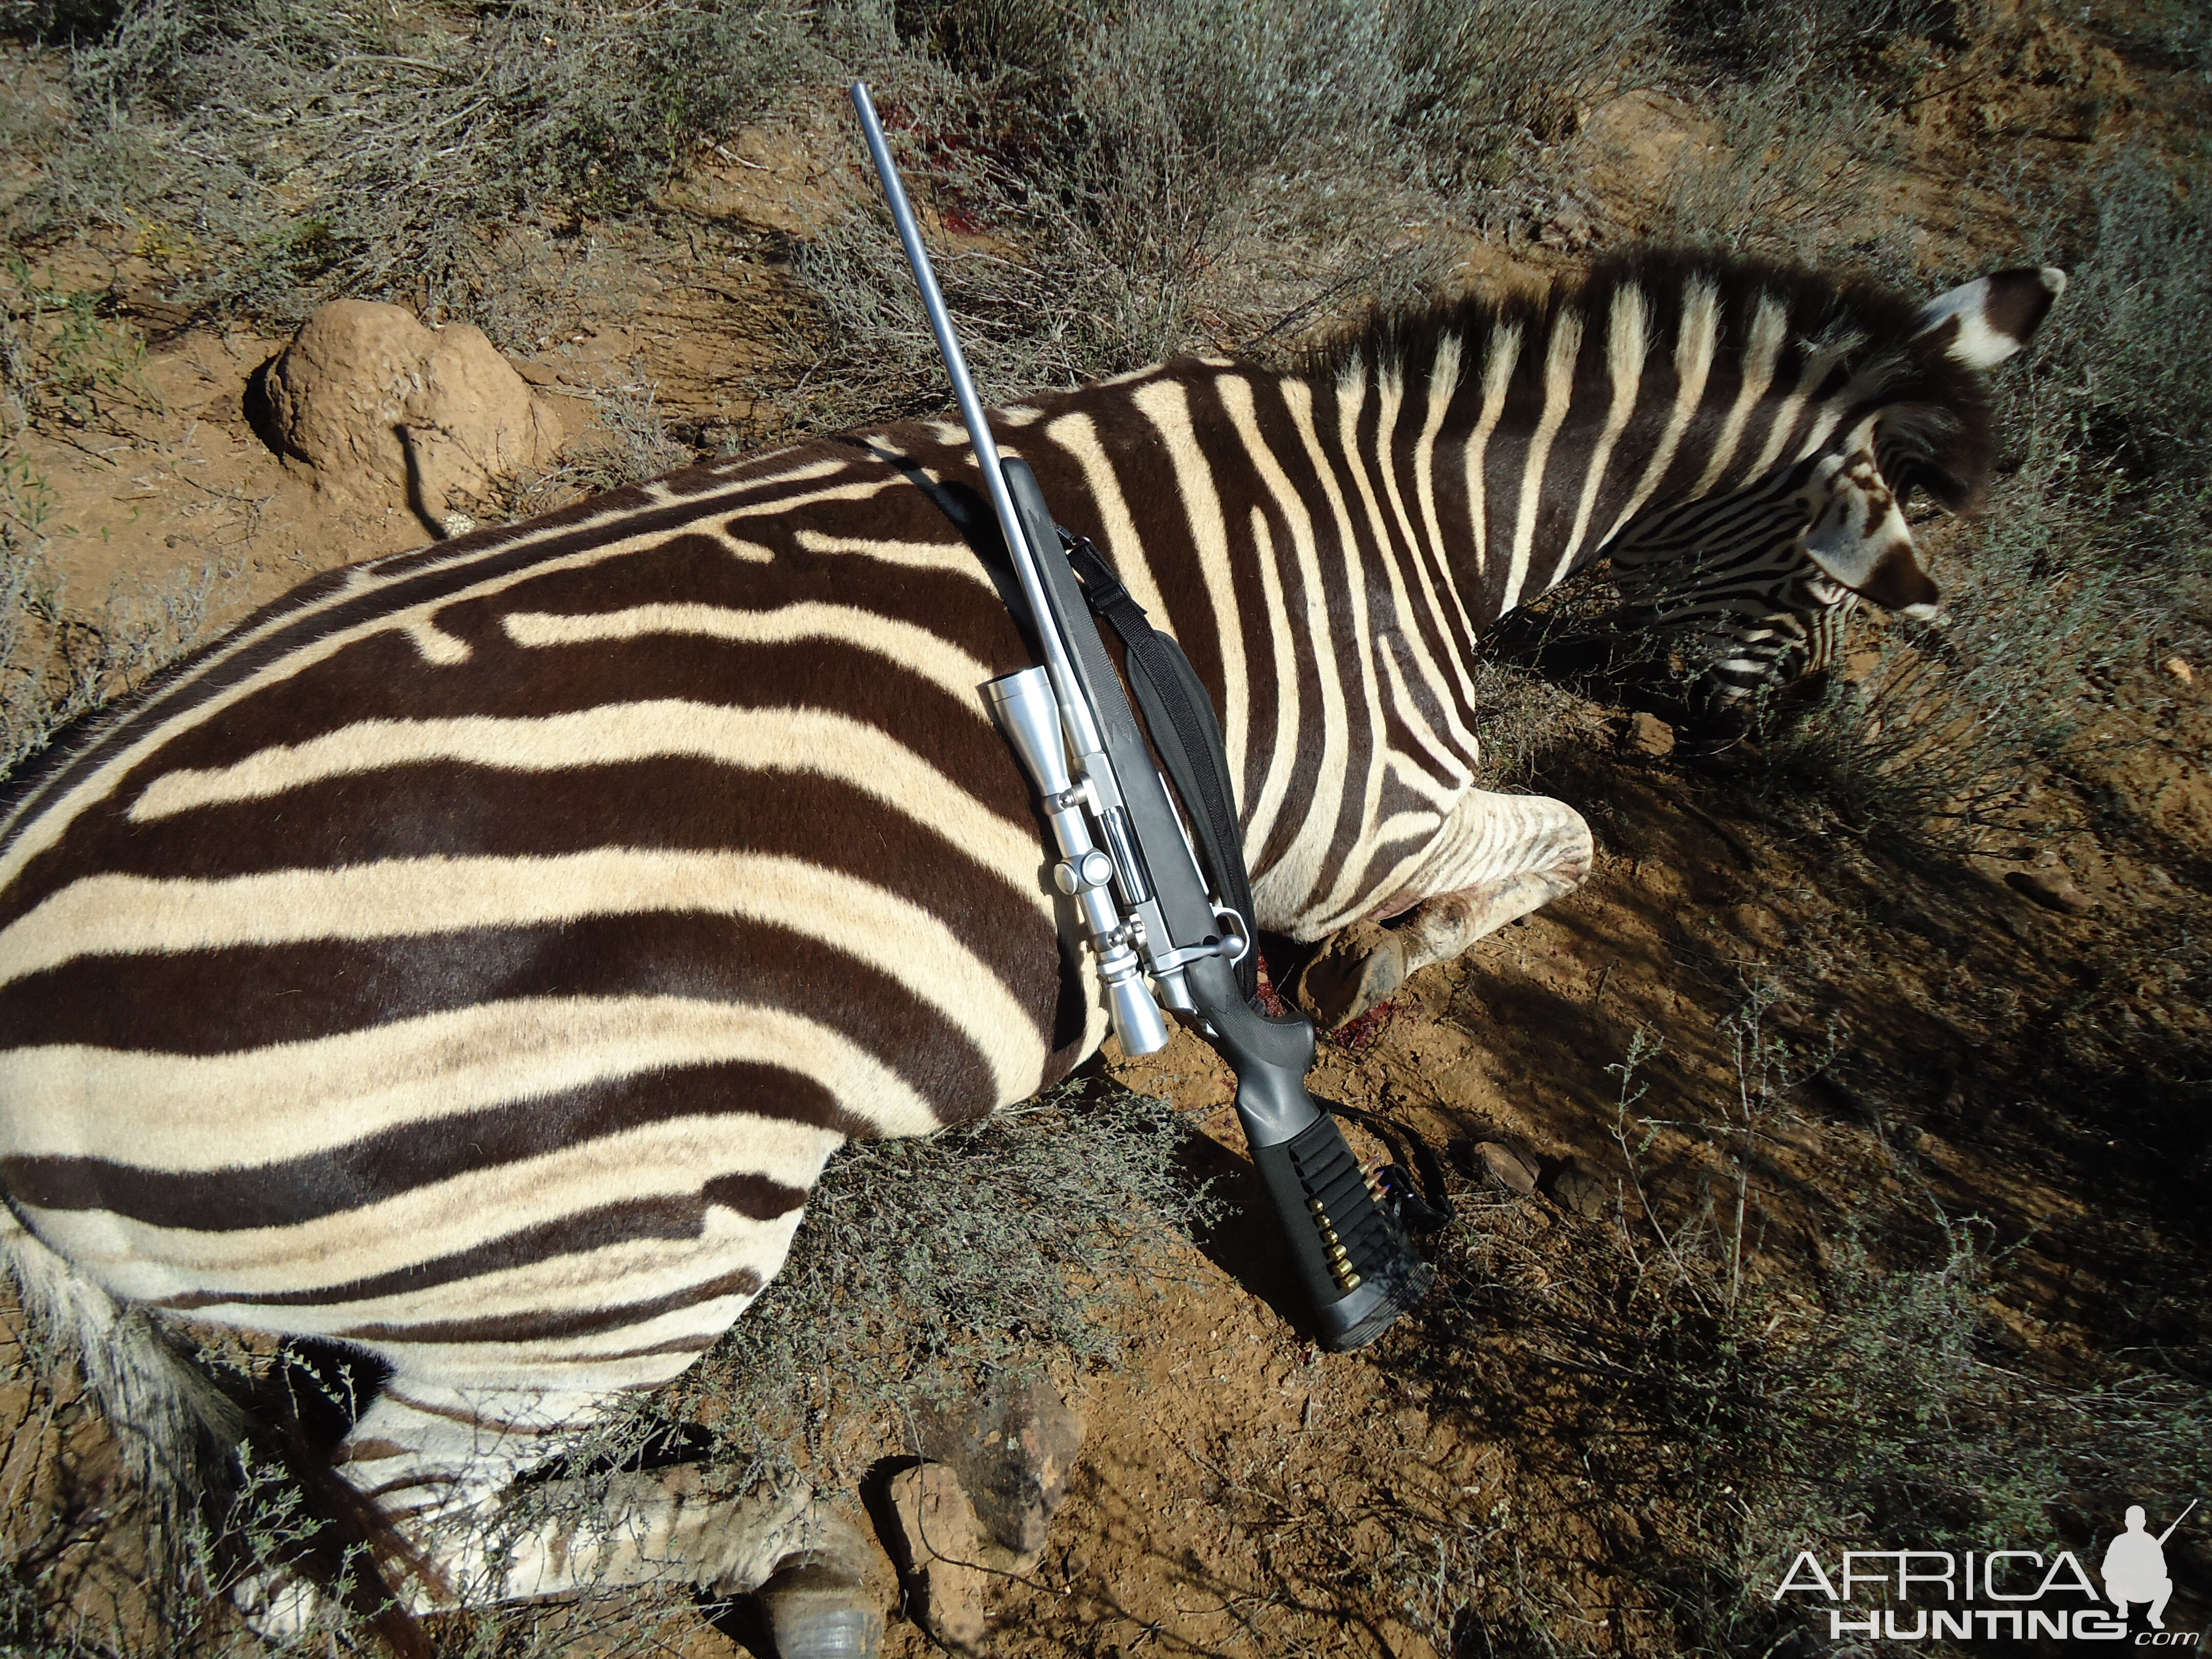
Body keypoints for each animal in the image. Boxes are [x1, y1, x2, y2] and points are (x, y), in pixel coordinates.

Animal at [0, 246, 2052, 1654]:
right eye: (1833, 582)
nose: (1786, 732)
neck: (1414, 512)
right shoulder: (1366, 807)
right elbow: (1557, 841)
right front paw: (1372, 972)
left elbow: (1552, 842)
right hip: (618, 1253)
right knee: (365, 1564)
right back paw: (790, 1543)